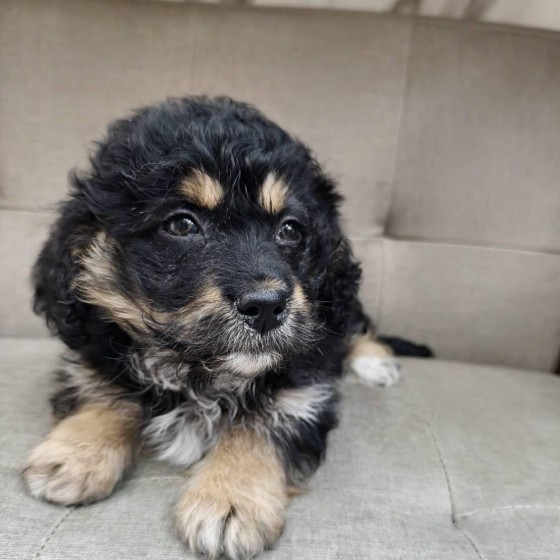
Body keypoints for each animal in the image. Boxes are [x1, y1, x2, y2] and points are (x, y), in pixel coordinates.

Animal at [23, 96, 430, 559]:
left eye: (291, 229)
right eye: (181, 224)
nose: (267, 306)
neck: (199, 373)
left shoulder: (305, 392)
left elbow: (261, 424)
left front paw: (229, 499)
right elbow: (105, 388)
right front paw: (76, 453)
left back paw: (376, 361)